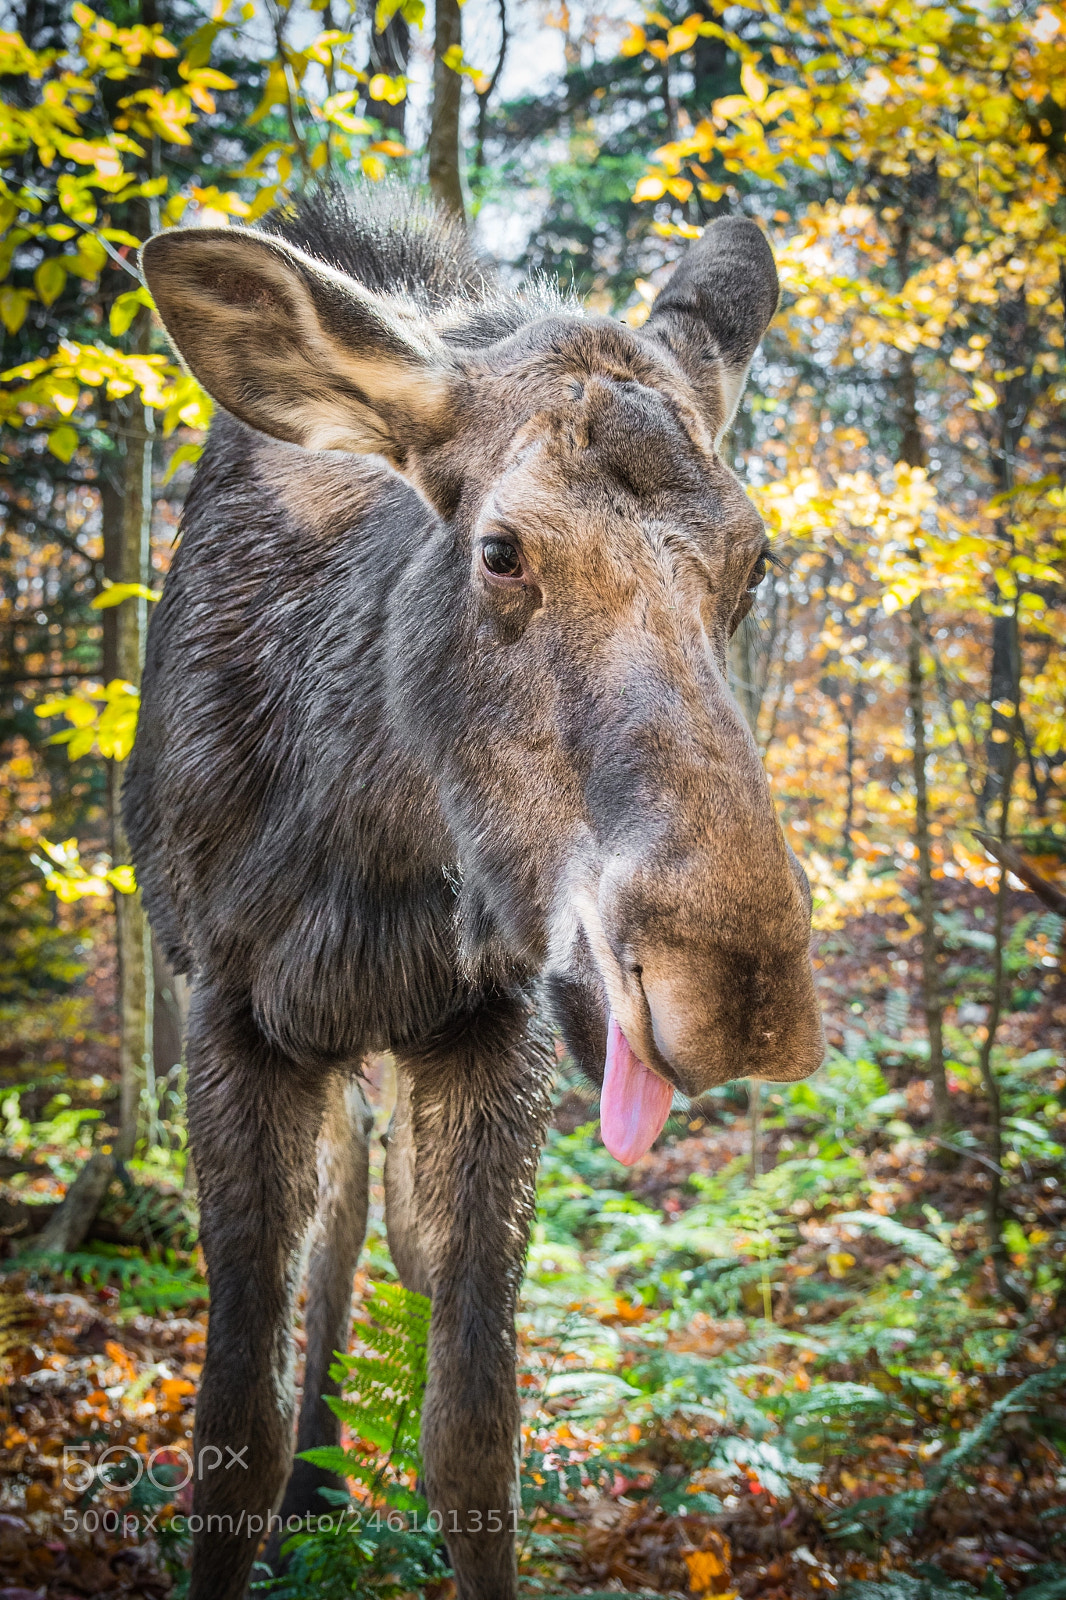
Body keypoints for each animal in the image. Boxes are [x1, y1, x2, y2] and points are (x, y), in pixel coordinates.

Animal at [128, 185, 824, 1600]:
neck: (367, 842)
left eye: (755, 562)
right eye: (501, 550)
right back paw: (324, 1483)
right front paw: (283, 1485)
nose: (738, 993)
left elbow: (474, 1432)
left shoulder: (486, 1028)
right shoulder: (233, 1018)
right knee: (338, 1240)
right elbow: (231, 1429)